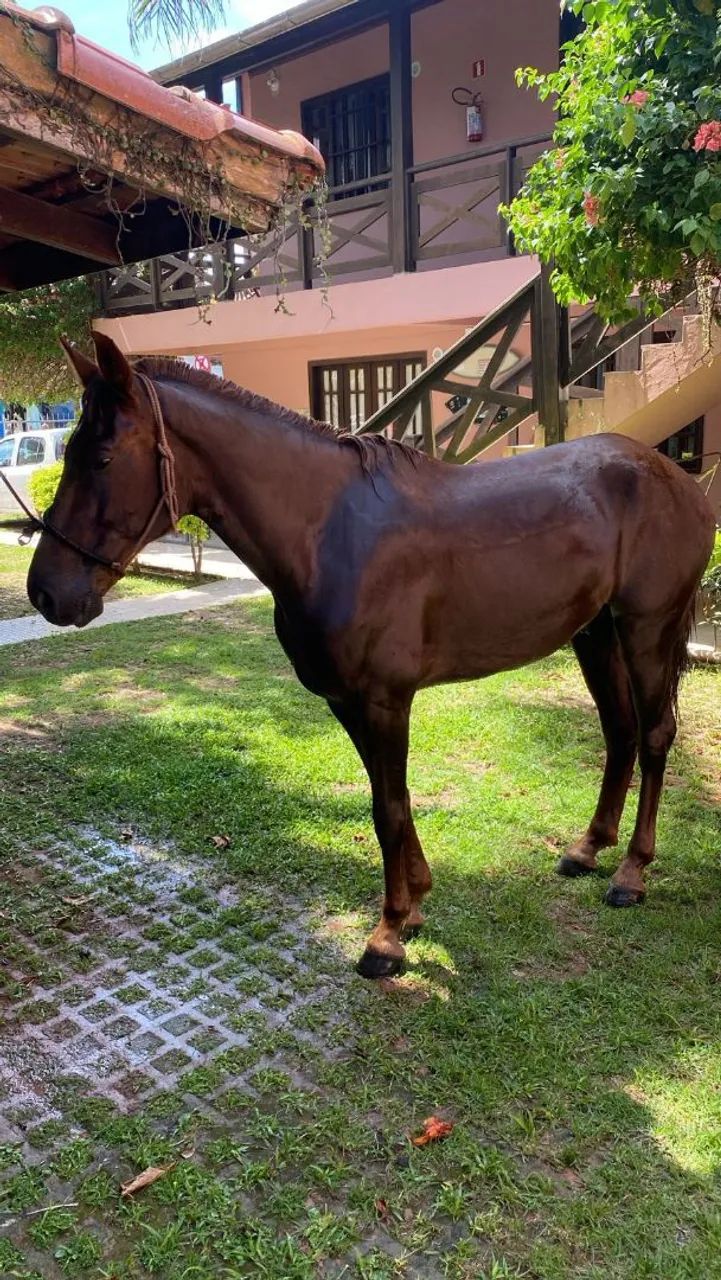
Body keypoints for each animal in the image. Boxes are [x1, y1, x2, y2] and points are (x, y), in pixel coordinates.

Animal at [27, 333, 716, 979]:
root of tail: (677, 476)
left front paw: (386, 936)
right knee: (620, 732)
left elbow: (386, 810)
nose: (46, 593)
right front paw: (413, 907)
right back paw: (587, 848)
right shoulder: (347, 701)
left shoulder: (385, 700)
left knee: (655, 734)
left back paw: (631, 873)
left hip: (646, 629)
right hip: (594, 635)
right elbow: (394, 802)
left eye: (103, 458)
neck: (330, 535)